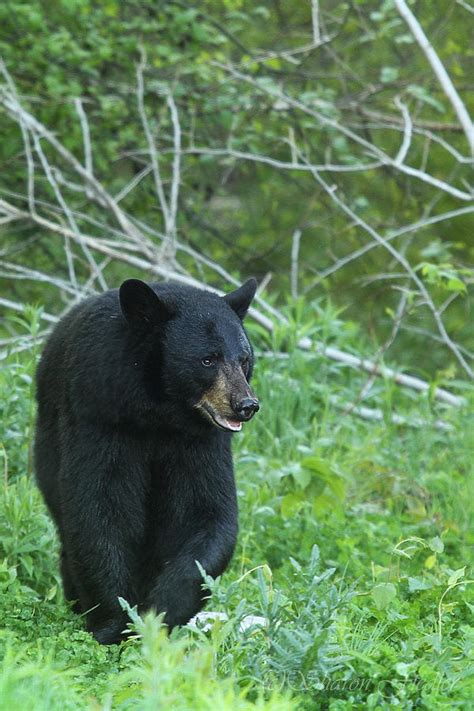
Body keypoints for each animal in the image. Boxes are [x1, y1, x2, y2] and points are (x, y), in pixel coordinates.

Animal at [35, 278, 260, 644]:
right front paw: (115, 622)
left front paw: (159, 612)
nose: (246, 404)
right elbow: (100, 508)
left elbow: (206, 512)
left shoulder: (199, 442)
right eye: (207, 360)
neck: (159, 412)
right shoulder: (99, 413)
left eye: (244, 359)